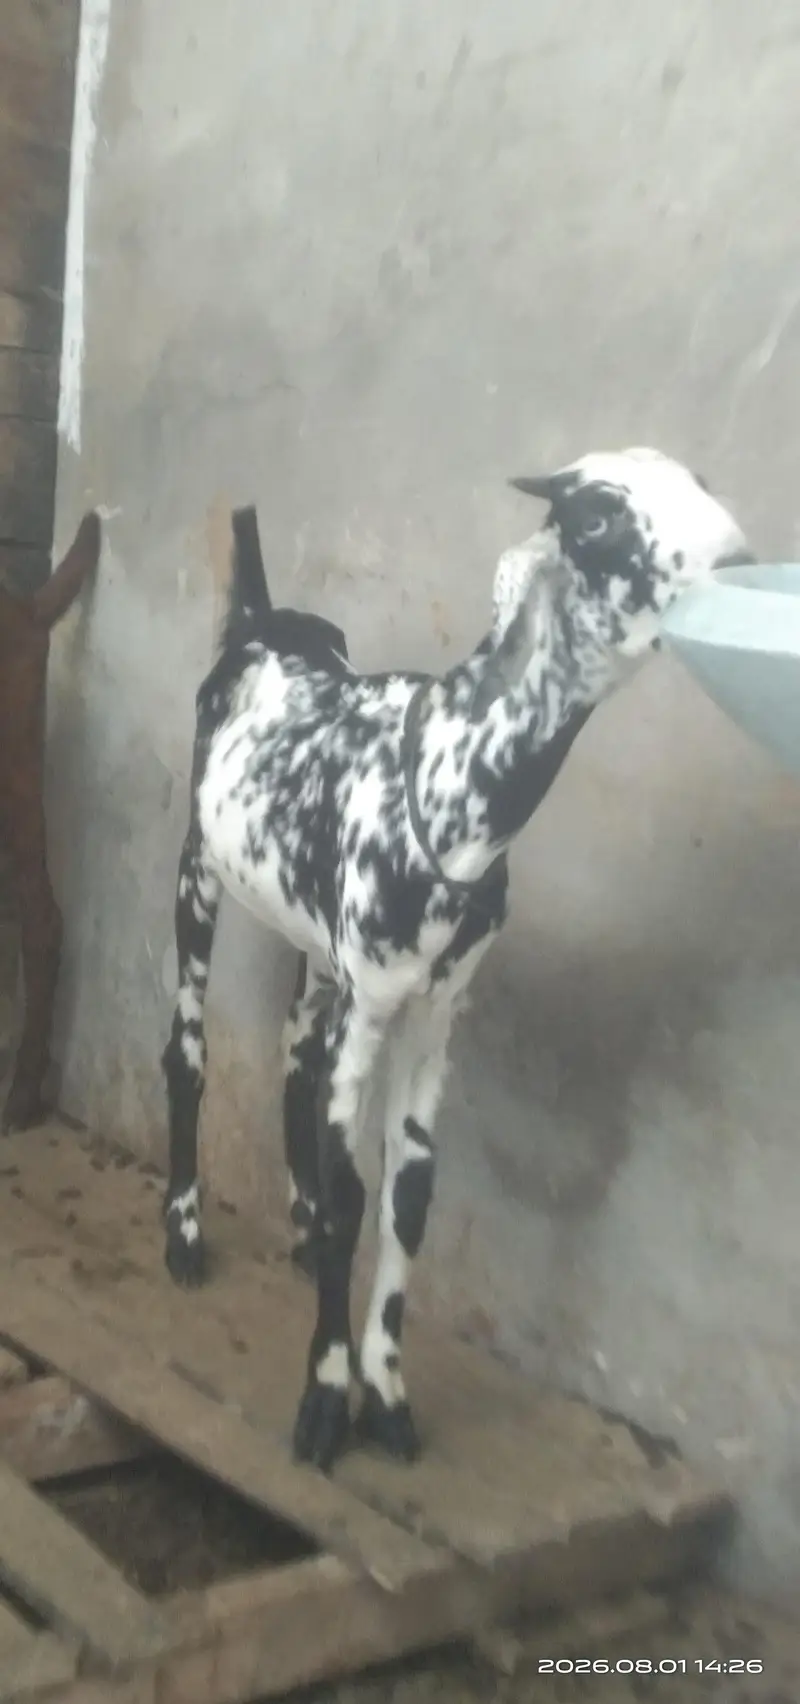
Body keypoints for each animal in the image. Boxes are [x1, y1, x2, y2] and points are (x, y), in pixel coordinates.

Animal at [162, 450, 751, 1472]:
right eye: (595, 517)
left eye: (701, 485)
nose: (740, 557)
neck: (443, 785)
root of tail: (264, 621)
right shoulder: (371, 1003)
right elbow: (356, 1194)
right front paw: (326, 1403)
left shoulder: (436, 1008)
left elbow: (409, 1191)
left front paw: (388, 1395)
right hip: (202, 868)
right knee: (190, 1049)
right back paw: (187, 1237)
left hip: (316, 946)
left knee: (293, 1059)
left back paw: (297, 1229)